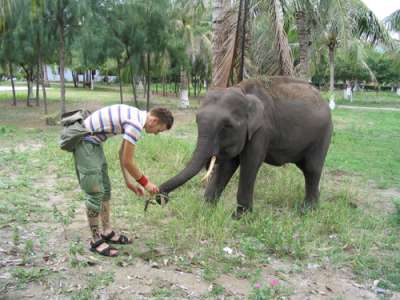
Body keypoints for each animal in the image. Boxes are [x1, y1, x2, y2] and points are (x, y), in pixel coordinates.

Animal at [158, 77, 332, 218]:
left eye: (227, 126)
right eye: (197, 120)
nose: (162, 198)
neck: (242, 91)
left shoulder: (262, 130)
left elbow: (250, 164)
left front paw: (239, 217)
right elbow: (227, 165)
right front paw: (207, 209)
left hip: (323, 135)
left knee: (312, 169)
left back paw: (307, 211)